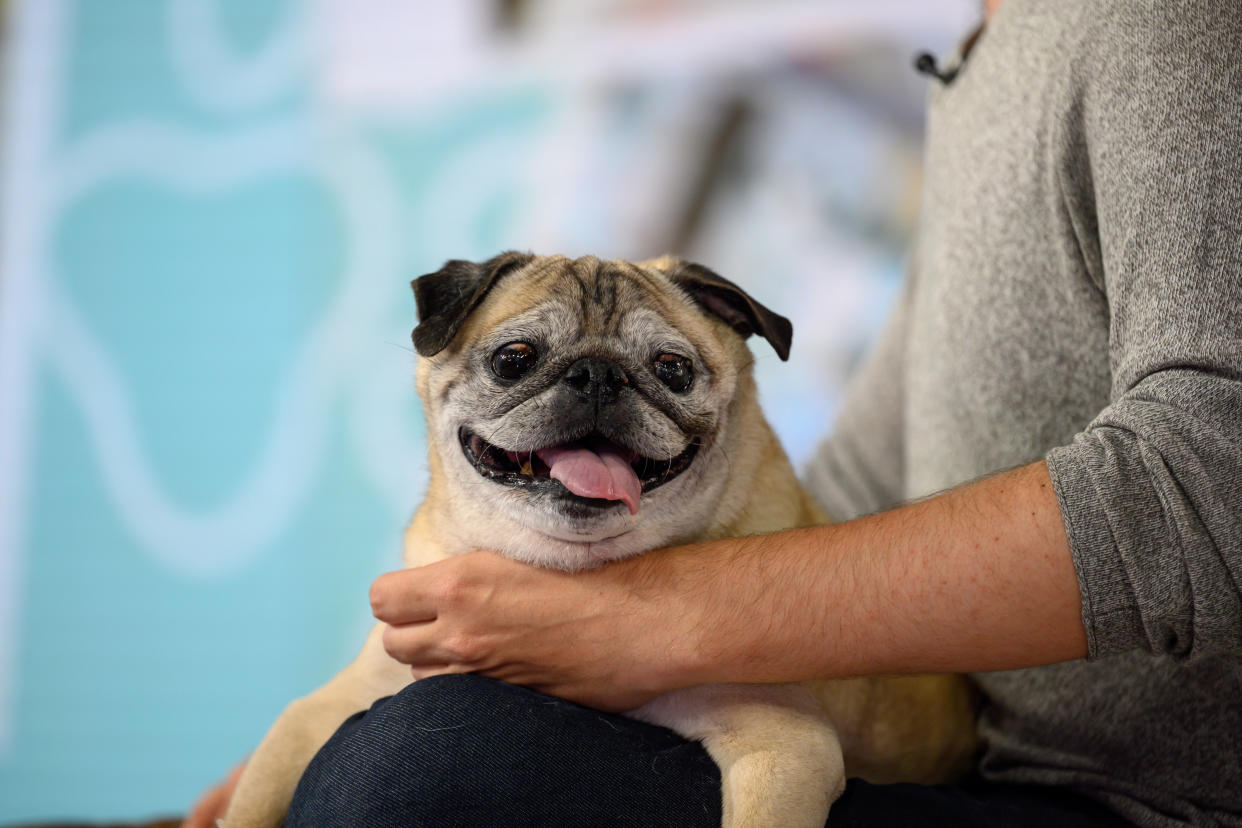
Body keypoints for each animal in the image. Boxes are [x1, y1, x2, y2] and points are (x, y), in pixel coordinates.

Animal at [223, 253, 978, 828]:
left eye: (672, 369)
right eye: (514, 359)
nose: (596, 374)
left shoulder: (785, 748)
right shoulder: (320, 710)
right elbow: (252, 801)